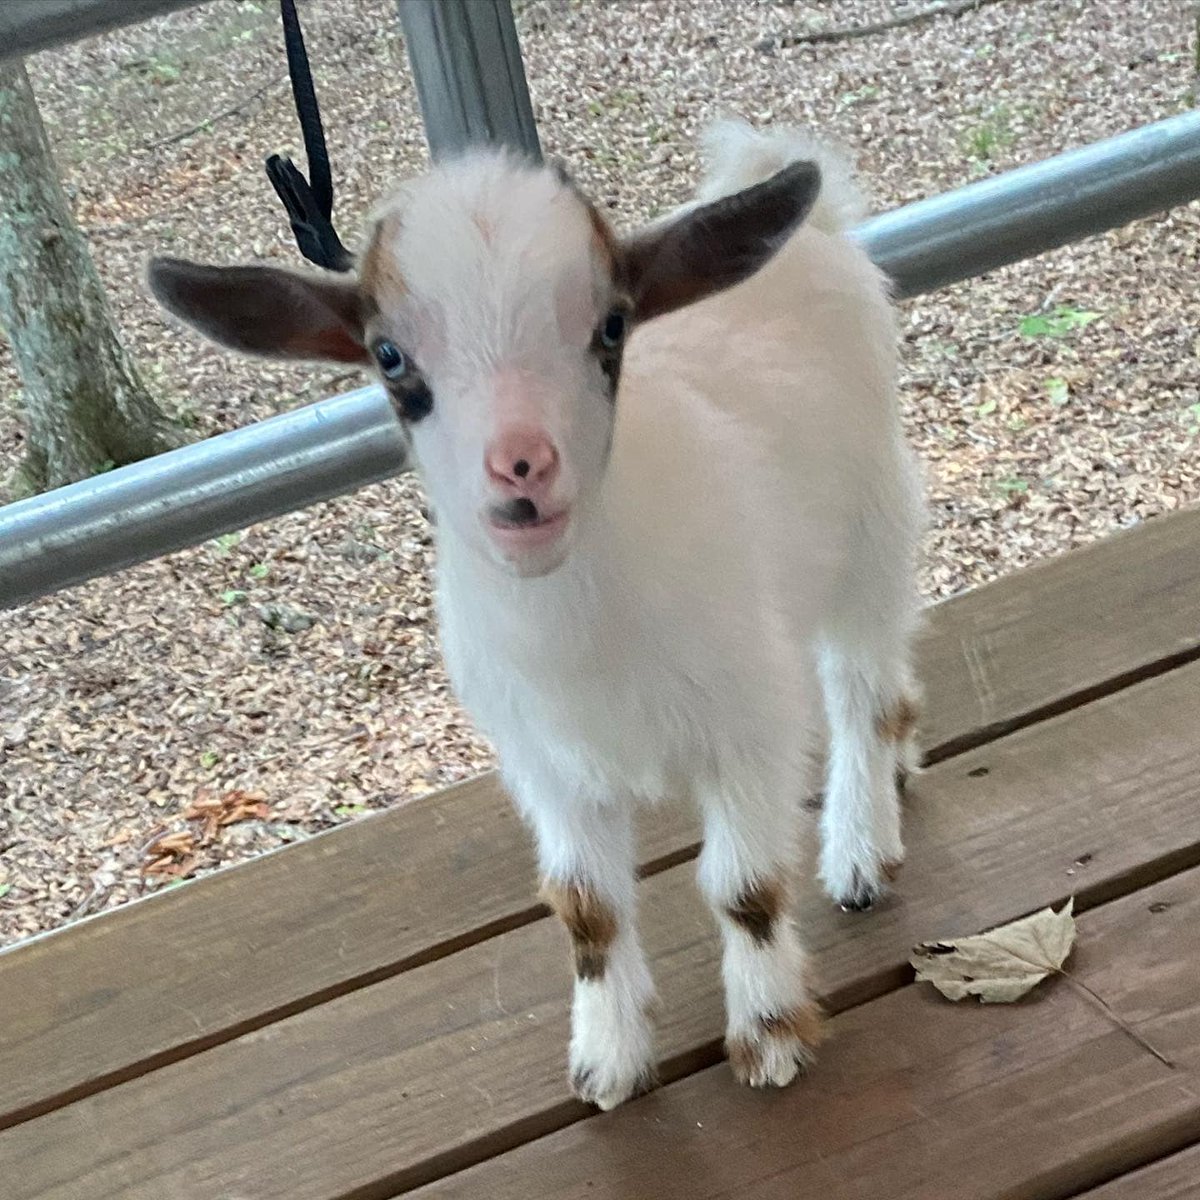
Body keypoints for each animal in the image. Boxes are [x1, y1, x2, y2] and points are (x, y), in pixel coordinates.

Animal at [148, 118, 925, 1111]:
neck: (583, 629)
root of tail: (812, 228)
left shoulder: (745, 722)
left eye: (612, 326)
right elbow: (588, 911)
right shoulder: (544, 764)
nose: (521, 465)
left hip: (872, 529)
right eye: (389, 357)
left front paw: (769, 1035)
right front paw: (608, 1060)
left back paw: (861, 847)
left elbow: (743, 888)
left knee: (864, 692)